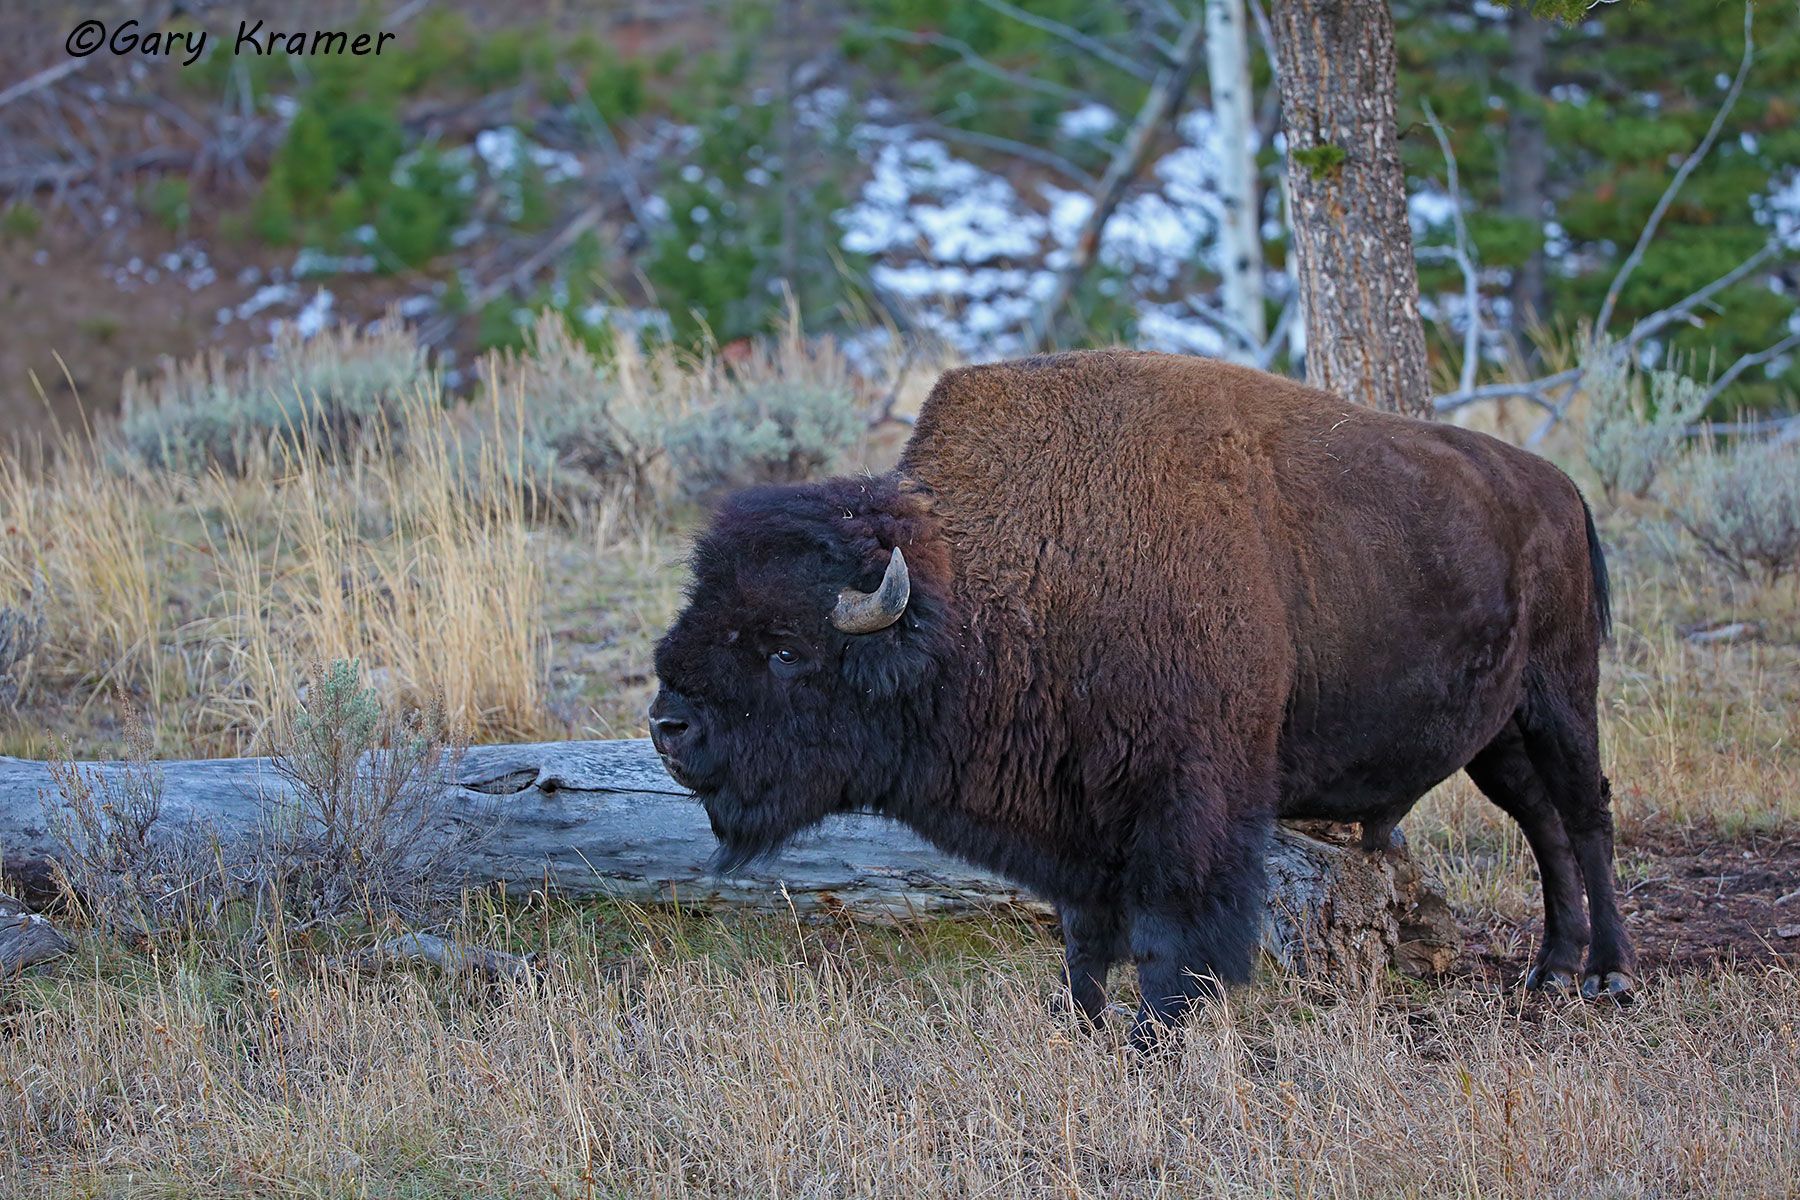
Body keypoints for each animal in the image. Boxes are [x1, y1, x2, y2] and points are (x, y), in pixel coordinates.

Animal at [650, 350, 1634, 1045]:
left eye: (785, 650)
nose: (668, 725)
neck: (992, 589)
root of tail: (1560, 488)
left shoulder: (1188, 800)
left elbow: (1169, 931)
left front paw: (1152, 1038)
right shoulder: (1074, 813)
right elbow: (1084, 932)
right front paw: (1078, 1023)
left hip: (1560, 697)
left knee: (1587, 816)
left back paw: (1608, 976)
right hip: (1496, 736)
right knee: (1543, 824)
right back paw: (1550, 969)